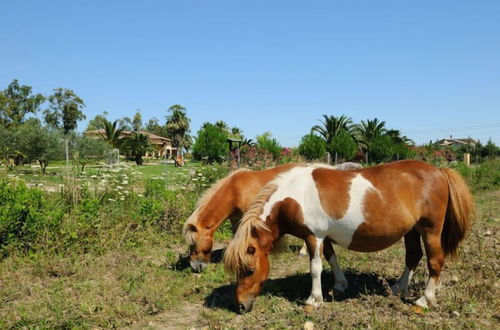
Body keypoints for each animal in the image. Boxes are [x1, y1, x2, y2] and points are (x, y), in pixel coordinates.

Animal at [225, 161, 474, 314]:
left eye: (248, 270)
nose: (240, 307)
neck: (294, 197)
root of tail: (439, 171)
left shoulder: (313, 236)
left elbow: (315, 267)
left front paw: (313, 300)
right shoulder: (323, 237)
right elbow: (332, 258)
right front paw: (340, 285)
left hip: (430, 230)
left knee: (435, 262)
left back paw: (424, 300)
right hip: (412, 231)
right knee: (413, 257)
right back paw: (398, 289)